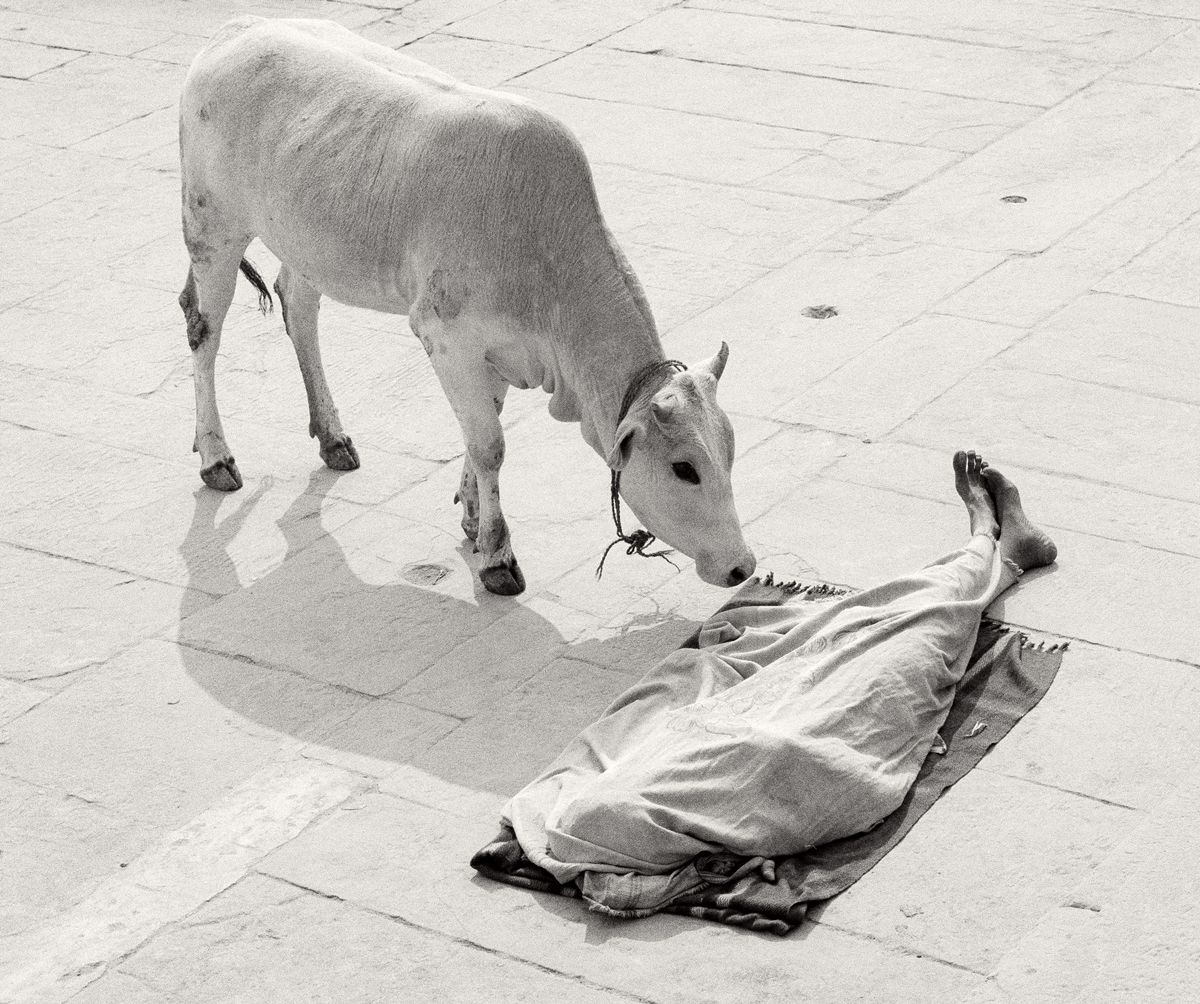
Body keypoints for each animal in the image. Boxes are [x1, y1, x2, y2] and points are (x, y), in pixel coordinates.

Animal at [177, 15, 753, 592]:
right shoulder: (444, 335)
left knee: (298, 308)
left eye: (729, 451)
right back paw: (215, 456)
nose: (742, 565)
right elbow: (488, 443)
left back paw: (333, 437)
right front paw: (497, 555)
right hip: (211, 226)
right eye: (684, 468)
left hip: (305, 242)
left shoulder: (496, 352)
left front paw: (474, 518)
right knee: (204, 328)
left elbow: (482, 428)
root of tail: (237, 28)